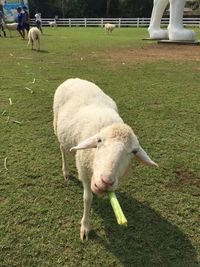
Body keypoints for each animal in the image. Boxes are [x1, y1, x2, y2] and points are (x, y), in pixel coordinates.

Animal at [52, 78, 158, 242]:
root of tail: (74, 79)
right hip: (58, 127)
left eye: (134, 151)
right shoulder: (84, 170)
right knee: (63, 150)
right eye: (99, 140)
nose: (106, 181)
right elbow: (87, 198)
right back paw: (66, 172)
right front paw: (85, 227)